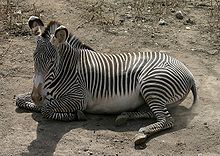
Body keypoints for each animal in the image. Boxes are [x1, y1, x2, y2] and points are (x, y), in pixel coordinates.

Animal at [16, 15, 197, 145]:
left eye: (52, 62)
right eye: (34, 58)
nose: (36, 97)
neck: (66, 69)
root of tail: (188, 72)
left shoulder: (79, 98)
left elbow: (46, 109)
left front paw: (73, 115)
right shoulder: (42, 93)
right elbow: (20, 99)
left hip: (152, 85)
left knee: (167, 120)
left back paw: (142, 133)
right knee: (152, 112)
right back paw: (125, 116)